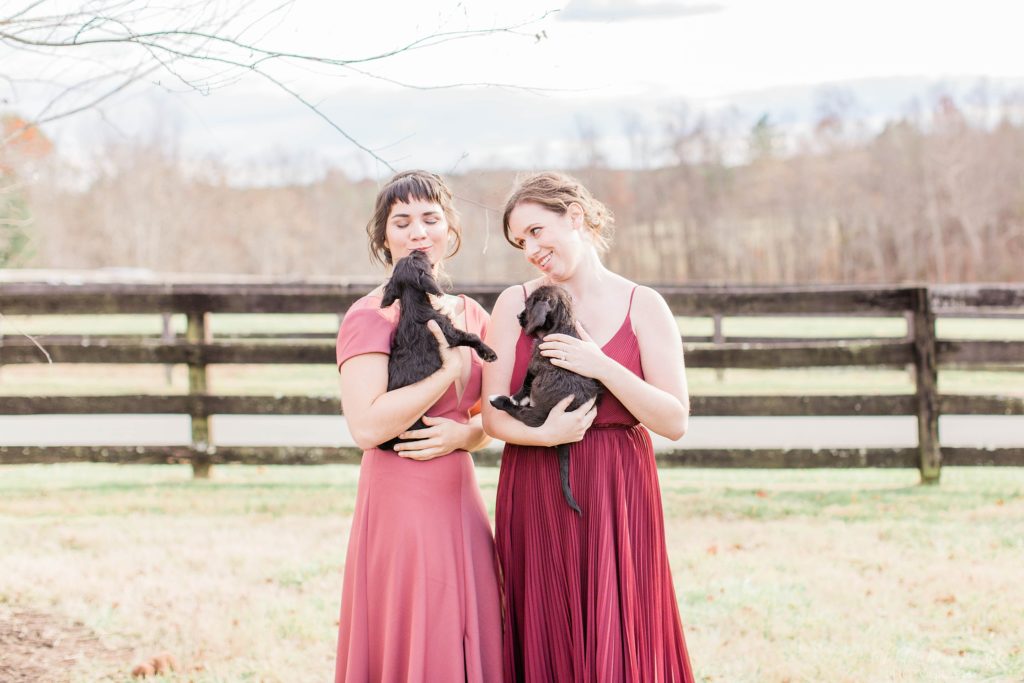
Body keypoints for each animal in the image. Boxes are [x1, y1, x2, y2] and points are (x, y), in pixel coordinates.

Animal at [380, 250, 499, 454]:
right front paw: (488, 353)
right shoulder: (450, 333)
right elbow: (473, 336)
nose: (416, 250)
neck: (414, 306)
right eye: (418, 259)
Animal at [487, 282, 598, 511]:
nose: (517, 316)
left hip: (536, 418)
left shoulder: (535, 363)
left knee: (520, 413)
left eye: (528, 305)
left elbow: (526, 381)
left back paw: (499, 400)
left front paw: (518, 396)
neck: (564, 325)